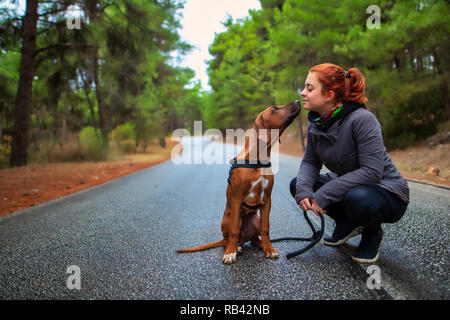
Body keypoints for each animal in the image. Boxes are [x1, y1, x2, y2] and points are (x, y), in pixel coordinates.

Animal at [178, 101, 300, 264]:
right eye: (274, 109)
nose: (298, 101)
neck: (257, 161)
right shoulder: (236, 199)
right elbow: (234, 229)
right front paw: (230, 253)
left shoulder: (267, 200)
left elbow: (266, 229)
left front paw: (269, 249)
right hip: (227, 219)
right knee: (227, 239)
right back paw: (235, 247)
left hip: (255, 219)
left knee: (254, 237)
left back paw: (259, 244)